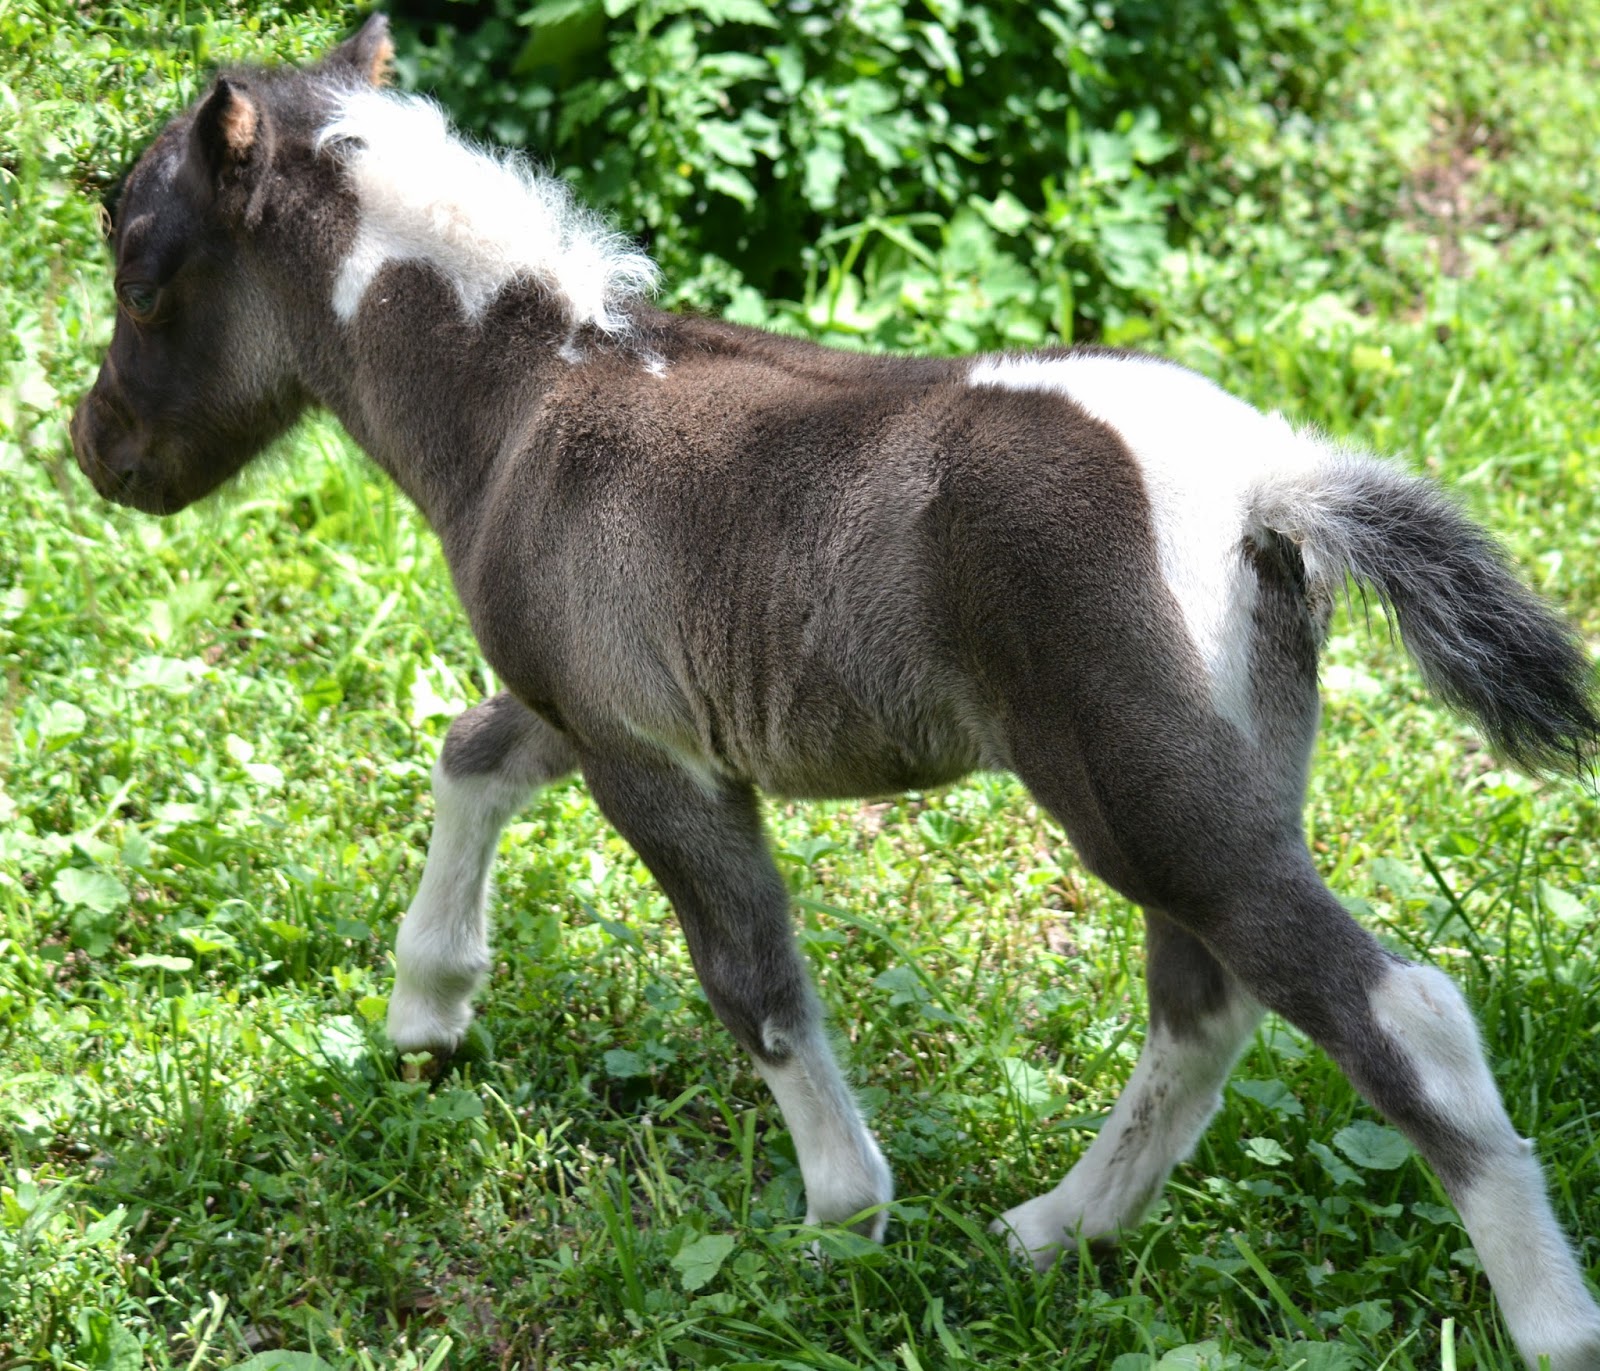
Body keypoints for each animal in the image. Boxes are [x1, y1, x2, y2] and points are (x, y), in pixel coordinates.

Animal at [70, 17, 1600, 1368]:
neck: (527, 402)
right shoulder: (588, 706)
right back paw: (1056, 1229)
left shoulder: (651, 759)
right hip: (1212, 790)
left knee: (1396, 1013)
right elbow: (471, 752)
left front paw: (837, 1218)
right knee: (1204, 1011)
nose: (97, 450)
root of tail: (1267, 481)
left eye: (141, 274)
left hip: (1153, 807)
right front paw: (427, 1011)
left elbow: (750, 977)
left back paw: (1550, 1323)